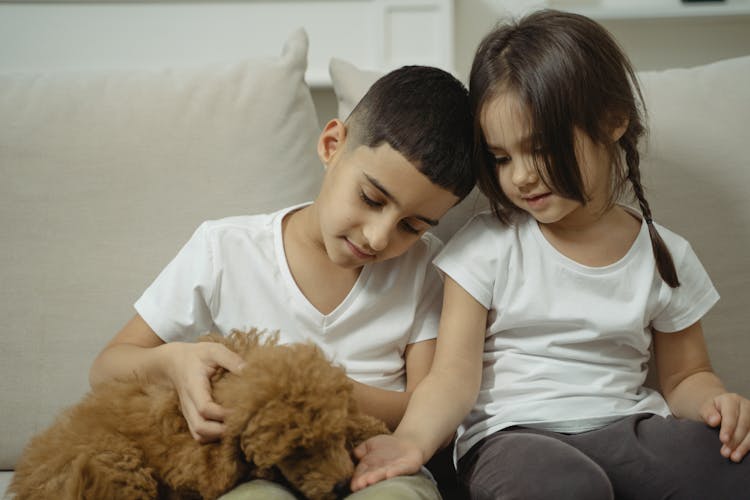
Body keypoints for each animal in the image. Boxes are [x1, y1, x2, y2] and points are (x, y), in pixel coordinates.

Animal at [8, 330, 390, 498]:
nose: (342, 485)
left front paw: (369, 426)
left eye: (335, 437)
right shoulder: (192, 463)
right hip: (114, 459)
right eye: (296, 452)